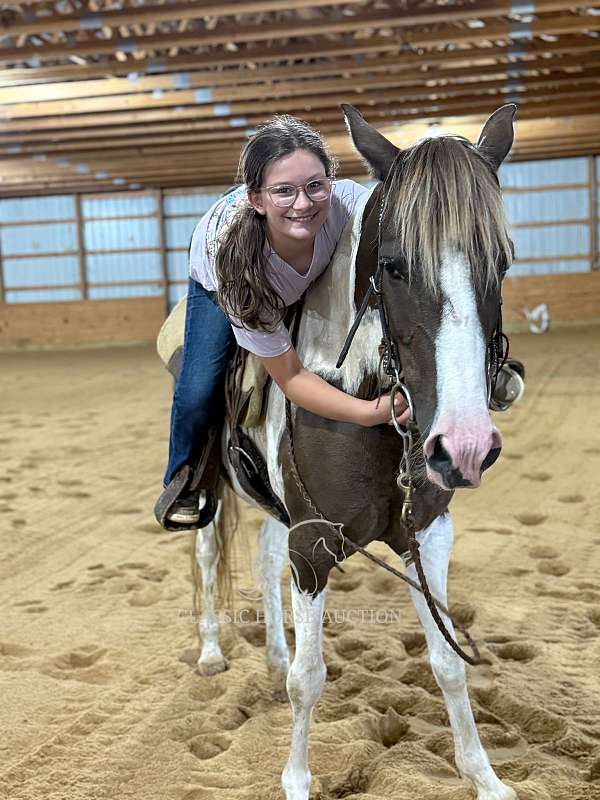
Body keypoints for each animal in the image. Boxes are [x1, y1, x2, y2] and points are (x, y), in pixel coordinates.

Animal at [192, 102, 517, 800]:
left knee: (262, 555)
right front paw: (296, 780)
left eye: (502, 261)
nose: (465, 446)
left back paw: (272, 653)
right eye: (393, 265)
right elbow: (309, 680)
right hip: (212, 487)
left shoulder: (428, 535)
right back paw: (209, 652)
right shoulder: (313, 546)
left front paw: (484, 775)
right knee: (207, 553)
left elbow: (447, 661)